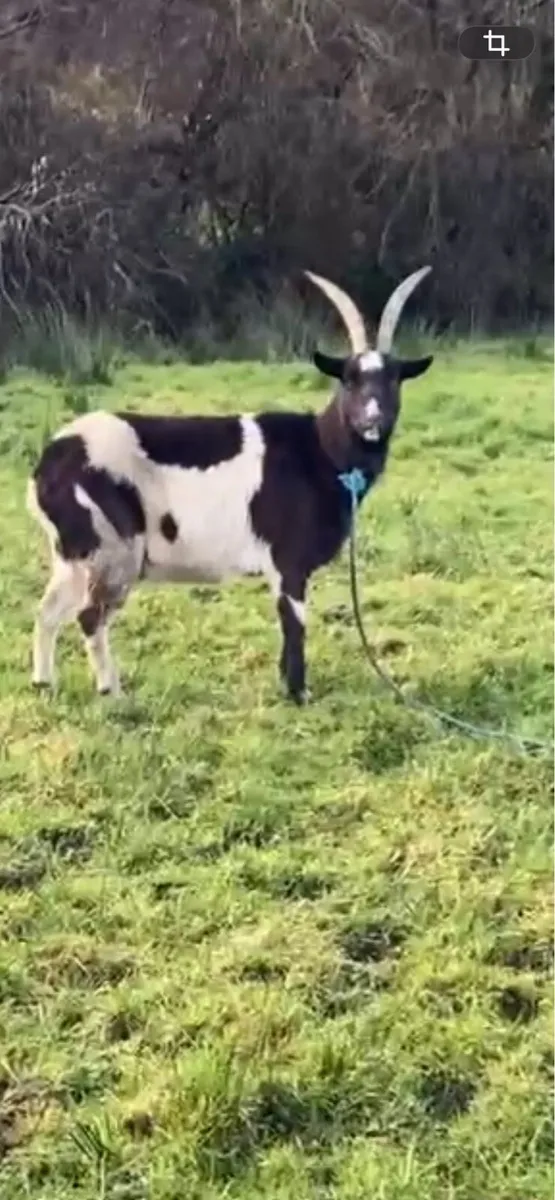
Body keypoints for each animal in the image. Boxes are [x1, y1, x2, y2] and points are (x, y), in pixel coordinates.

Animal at [27, 268, 434, 702]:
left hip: (73, 553)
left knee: (48, 610)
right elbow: (294, 624)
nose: (373, 421)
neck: (321, 451)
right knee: (90, 615)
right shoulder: (288, 559)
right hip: (113, 547)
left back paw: (43, 682)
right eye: (350, 379)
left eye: (395, 379)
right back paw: (112, 691)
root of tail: (48, 463)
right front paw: (298, 693)